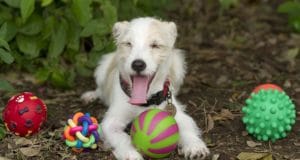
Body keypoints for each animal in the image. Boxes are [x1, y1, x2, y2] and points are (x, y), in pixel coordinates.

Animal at [81, 17, 210, 160]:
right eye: (128, 44)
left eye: (155, 45)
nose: (138, 64)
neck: (145, 101)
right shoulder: (110, 123)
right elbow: (122, 138)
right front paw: (130, 154)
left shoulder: (179, 115)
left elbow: (187, 129)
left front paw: (195, 146)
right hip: (102, 69)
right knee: (100, 90)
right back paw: (90, 95)